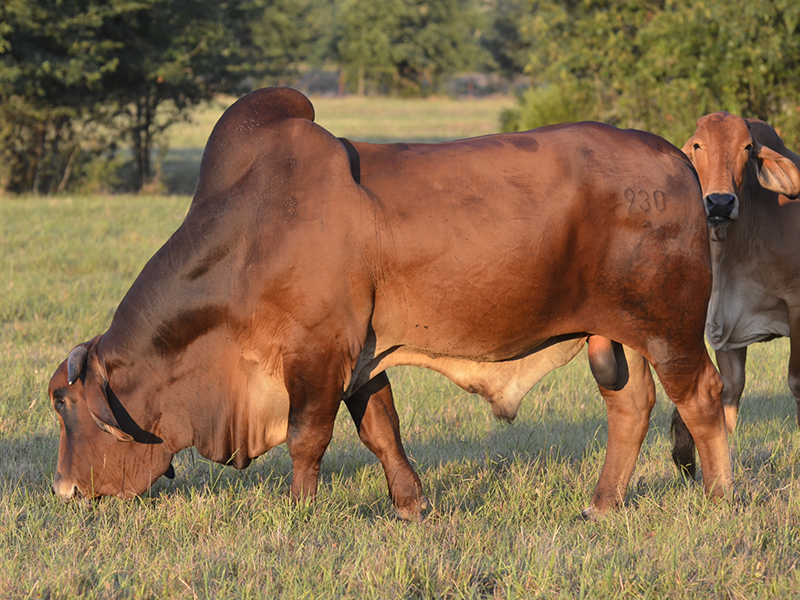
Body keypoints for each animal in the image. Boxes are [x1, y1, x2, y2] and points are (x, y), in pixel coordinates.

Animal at [45, 85, 732, 520]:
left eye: (61, 403)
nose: (64, 491)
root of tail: (677, 159)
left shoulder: (318, 350)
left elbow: (307, 437)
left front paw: (299, 511)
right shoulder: (362, 358)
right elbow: (381, 432)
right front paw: (411, 506)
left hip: (670, 328)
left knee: (702, 398)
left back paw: (720, 496)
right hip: (615, 335)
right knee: (632, 407)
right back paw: (602, 505)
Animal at [672, 111, 800, 474]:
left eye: (746, 148)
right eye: (698, 146)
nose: (720, 202)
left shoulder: (796, 305)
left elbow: (796, 382)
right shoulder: (725, 328)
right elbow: (730, 391)